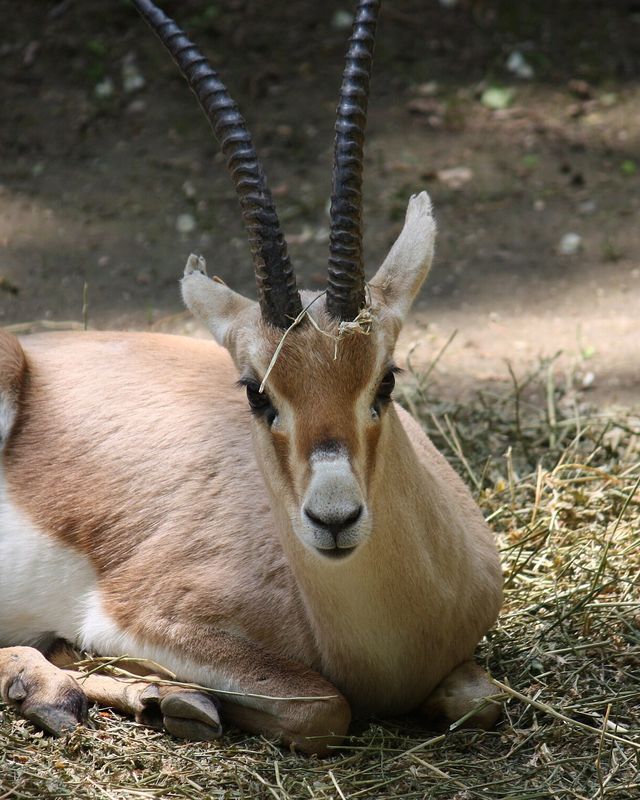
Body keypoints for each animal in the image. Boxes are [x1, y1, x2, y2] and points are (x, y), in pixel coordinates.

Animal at [0, 0, 503, 755]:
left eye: (385, 380)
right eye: (257, 392)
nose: (334, 519)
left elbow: (481, 699)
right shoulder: (136, 613)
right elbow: (322, 705)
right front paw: (171, 693)